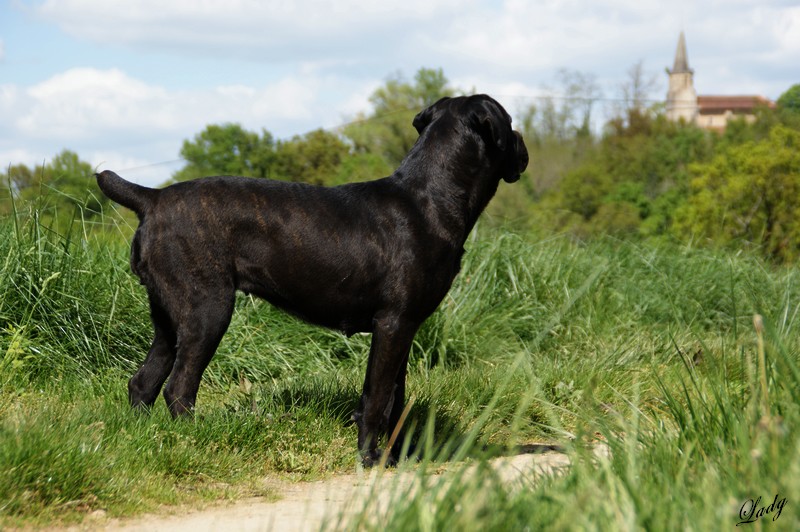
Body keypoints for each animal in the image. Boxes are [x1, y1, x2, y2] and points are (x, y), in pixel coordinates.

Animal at [97, 95, 528, 466]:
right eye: (509, 122)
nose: (524, 142)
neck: (430, 199)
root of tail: (152, 198)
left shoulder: (406, 328)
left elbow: (396, 396)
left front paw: (397, 458)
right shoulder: (393, 324)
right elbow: (376, 399)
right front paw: (370, 459)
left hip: (169, 317)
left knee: (143, 382)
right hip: (208, 310)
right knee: (179, 388)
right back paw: (194, 441)